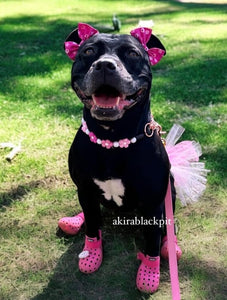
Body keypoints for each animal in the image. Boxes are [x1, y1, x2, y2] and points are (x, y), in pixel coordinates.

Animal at [62, 22, 179, 292]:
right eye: (88, 51)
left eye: (133, 54)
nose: (105, 65)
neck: (112, 138)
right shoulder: (84, 189)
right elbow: (92, 225)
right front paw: (91, 254)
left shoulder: (154, 202)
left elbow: (152, 240)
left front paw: (149, 272)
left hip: (170, 189)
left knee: (167, 226)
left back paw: (171, 245)